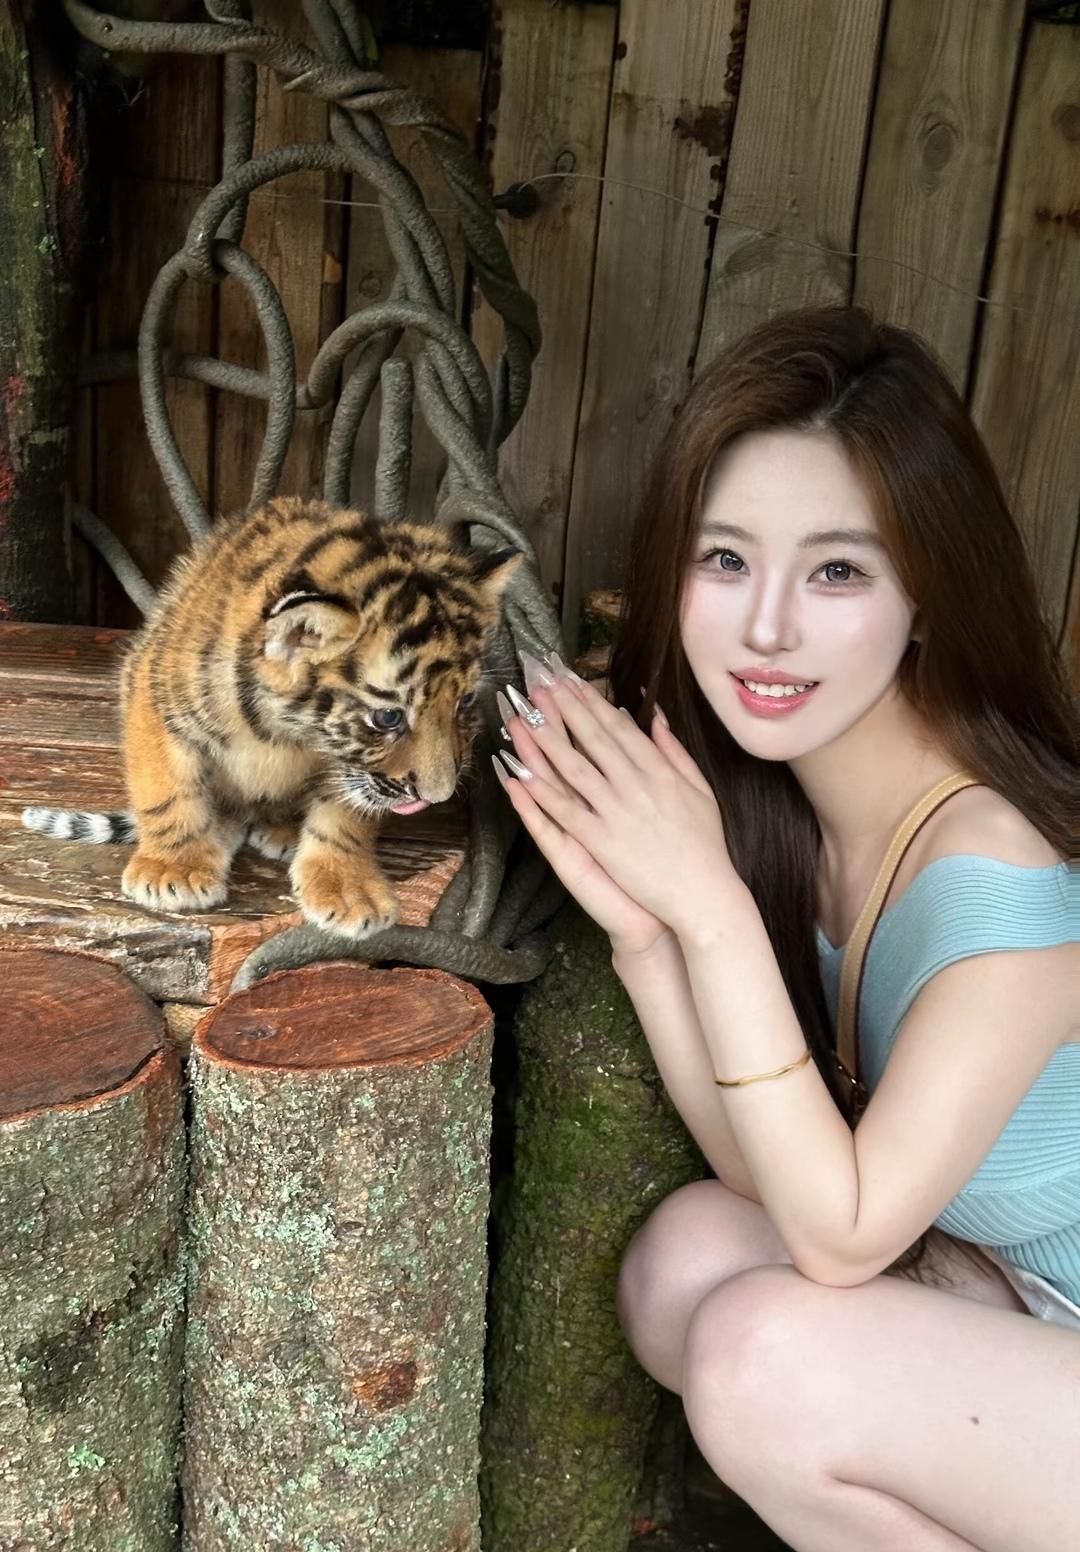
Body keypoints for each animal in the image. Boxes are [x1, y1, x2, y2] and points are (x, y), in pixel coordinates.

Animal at [22, 496, 520, 937]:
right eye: (388, 718)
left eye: (465, 702)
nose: (437, 797)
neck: (287, 729)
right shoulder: (153, 689)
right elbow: (166, 788)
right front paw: (174, 870)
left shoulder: (347, 768)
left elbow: (344, 820)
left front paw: (347, 889)